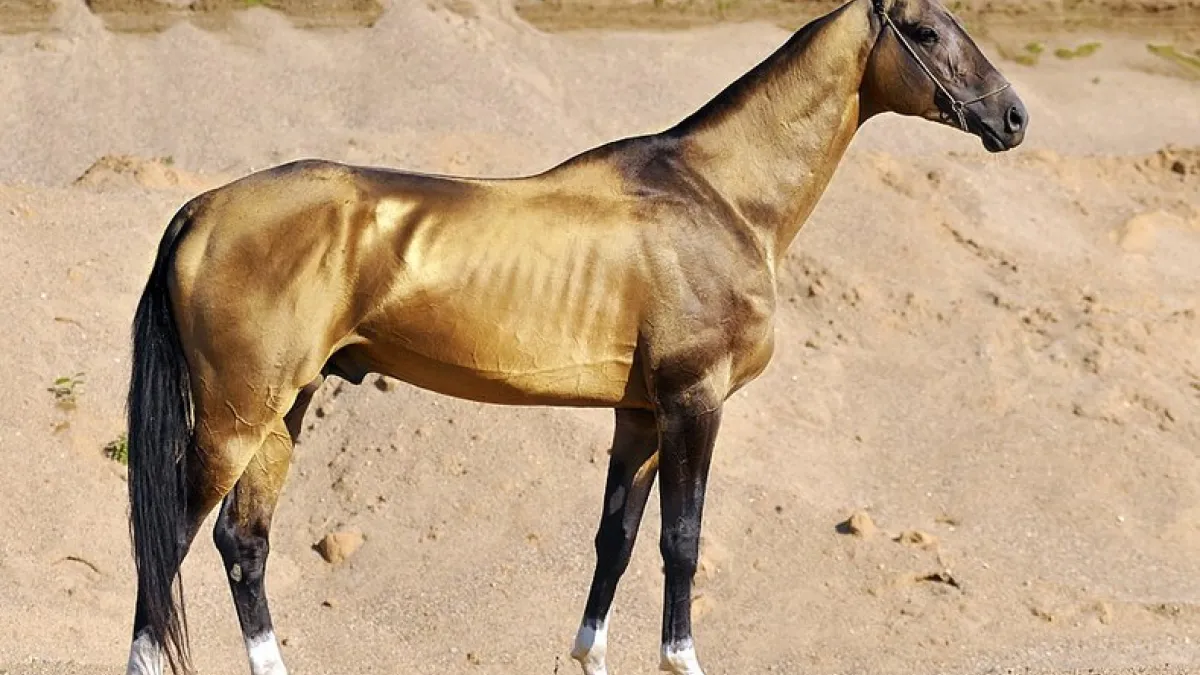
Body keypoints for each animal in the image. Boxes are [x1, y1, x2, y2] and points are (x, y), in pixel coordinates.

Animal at [122, 0, 1027, 672]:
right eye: (929, 31)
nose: (1013, 117)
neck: (720, 196)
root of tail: (202, 209)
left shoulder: (642, 415)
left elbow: (615, 540)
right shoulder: (694, 402)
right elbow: (681, 540)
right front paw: (680, 656)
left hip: (285, 410)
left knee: (243, 541)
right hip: (236, 419)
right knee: (169, 539)